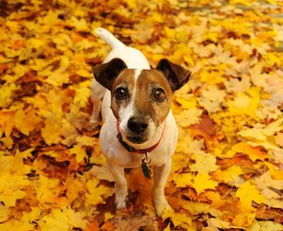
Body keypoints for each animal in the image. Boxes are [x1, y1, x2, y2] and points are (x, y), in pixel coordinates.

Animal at [92, 28, 192, 216]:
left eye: (159, 93)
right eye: (121, 92)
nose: (137, 124)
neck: (140, 151)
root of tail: (122, 47)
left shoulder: (165, 163)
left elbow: (158, 187)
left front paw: (161, 205)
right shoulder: (113, 163)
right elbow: (121, 182)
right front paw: (121, 199)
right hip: (95, 91)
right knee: (95, 103)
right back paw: (93, 118)